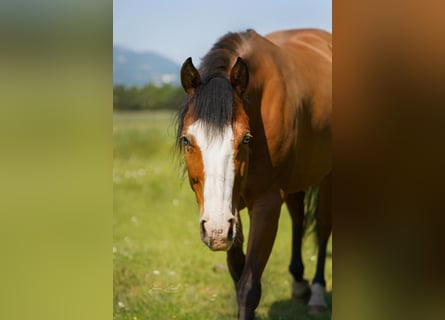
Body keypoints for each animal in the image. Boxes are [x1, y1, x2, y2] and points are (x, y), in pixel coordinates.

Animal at [175, 28, 332, 318]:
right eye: (187, 140)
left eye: (245, 139)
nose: (214, 230)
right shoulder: (232, 210)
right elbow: (238, 273)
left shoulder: (267, 204)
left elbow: (248, 286)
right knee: (298, 217)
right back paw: (299, 282)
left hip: (328, 177)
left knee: (323, 226)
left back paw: (317, 293)